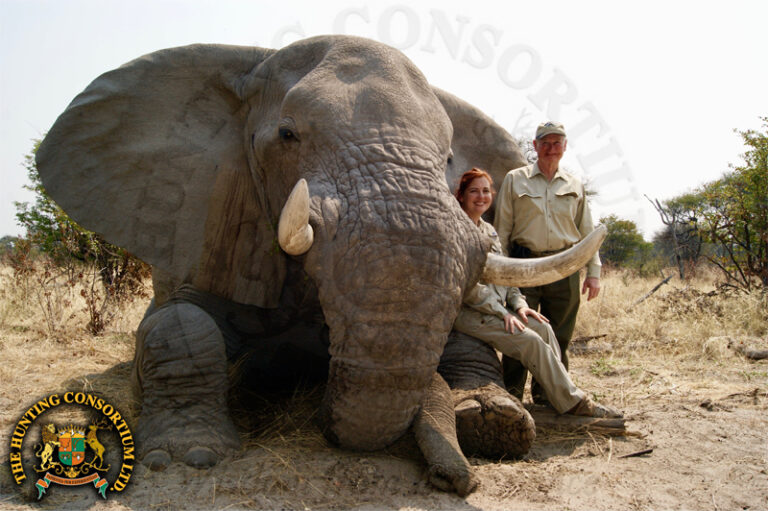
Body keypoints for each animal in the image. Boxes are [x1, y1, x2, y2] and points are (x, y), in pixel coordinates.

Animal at [36, 35, 605, 496]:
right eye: (287, 136)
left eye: (447, 159)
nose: (454, 481)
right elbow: (177, 322)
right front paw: (186, 457)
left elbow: (458, 333)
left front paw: (495, 421)